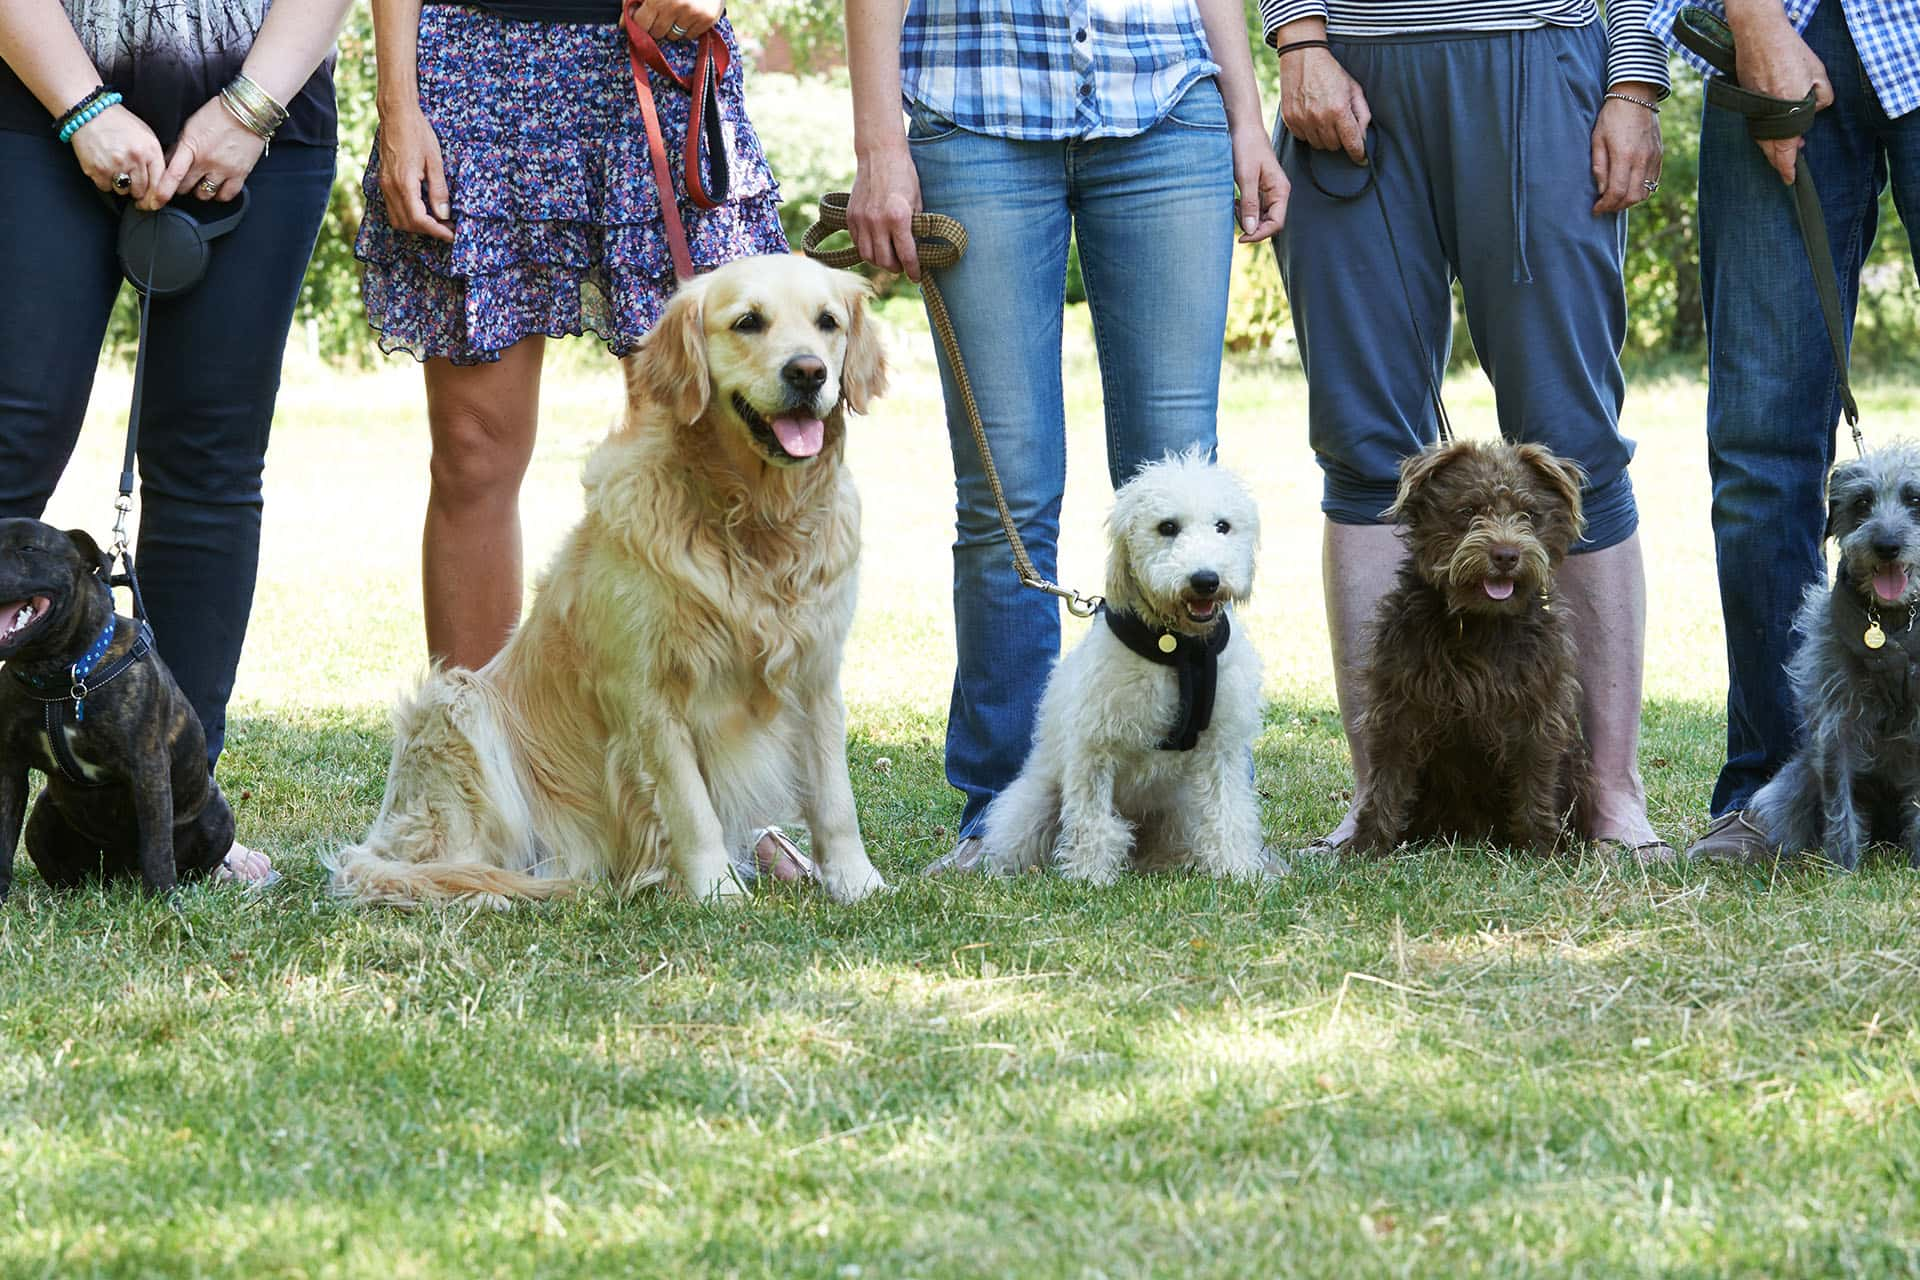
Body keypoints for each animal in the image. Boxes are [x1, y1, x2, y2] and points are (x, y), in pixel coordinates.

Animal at [0, 521, 231, 901]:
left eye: (29, 548)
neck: (64, 676)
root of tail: (121, 873)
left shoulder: (147, 767)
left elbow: (156, 845)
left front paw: (163, 901)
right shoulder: (11, 768)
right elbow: (4, 837)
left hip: (218, 815)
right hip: (42, 818)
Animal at [983, 450, 1267, 882]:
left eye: (1223, 526)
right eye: (1167, 527)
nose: (1205, 580)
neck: (1177, 650)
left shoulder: (1222, 747)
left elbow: (1227, 812)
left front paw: (1235, 870)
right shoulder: (1095, 747)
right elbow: (1092, 820)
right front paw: (1090, 876)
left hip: (1180, 811)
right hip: (1033, 803)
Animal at [1344, 441, 1597, 859]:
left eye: (1529, 515)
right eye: (1469, 511)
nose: (1506, 555)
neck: (1480, 622)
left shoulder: (1537, 710)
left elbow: (1535, 781)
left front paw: (1541, 849)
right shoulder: (1399, 705)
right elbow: (1386, 781)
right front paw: (1367, 847)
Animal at [1758, 441, 1920, 871]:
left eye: (1915, 499)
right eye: (1862, 502)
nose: (1886, 546)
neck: (1892, 623)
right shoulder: (1836, 724)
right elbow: (1838, 801)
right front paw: (1842, 869)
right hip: (1789, 785)